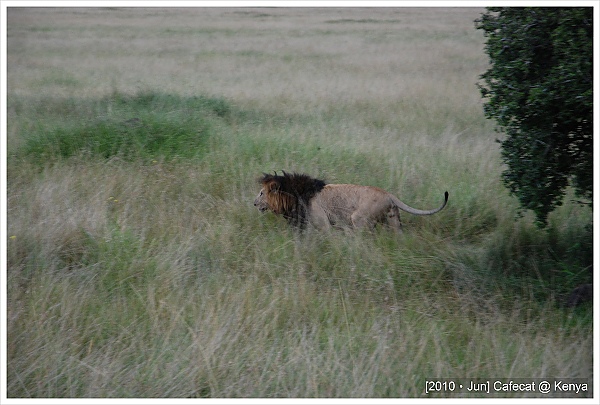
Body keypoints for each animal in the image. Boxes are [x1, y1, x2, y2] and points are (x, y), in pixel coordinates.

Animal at [252, 172, 446, 232]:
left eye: (261, 193)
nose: (254, 203)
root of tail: (389, 194)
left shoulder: (322, 223)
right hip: (394, 221)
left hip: (359, 219)